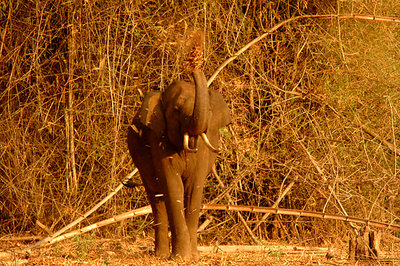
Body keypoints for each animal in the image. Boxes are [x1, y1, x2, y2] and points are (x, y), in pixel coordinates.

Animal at [125, 69, 231, 258]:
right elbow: (174, 187)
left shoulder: (203, 149)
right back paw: (160, 255)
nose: (195, 66)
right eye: (176, 110)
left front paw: (193, 257)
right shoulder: (158, 139)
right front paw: (180, 257)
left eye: (210, 110)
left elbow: (194, 188)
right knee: (156, 198)